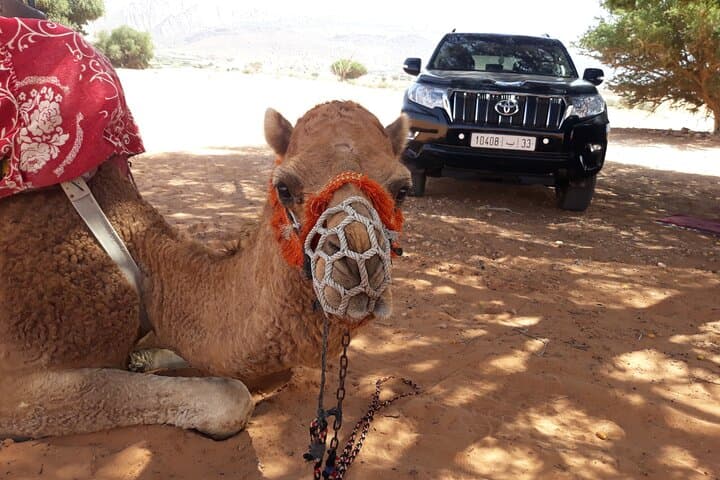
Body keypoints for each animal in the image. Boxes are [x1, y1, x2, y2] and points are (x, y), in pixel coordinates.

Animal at [0, 100, 411, 440]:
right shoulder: (19, 378)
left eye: (402, 190)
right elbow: (232, 396)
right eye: (284, 187)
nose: (358, 266)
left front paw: (143, 359)